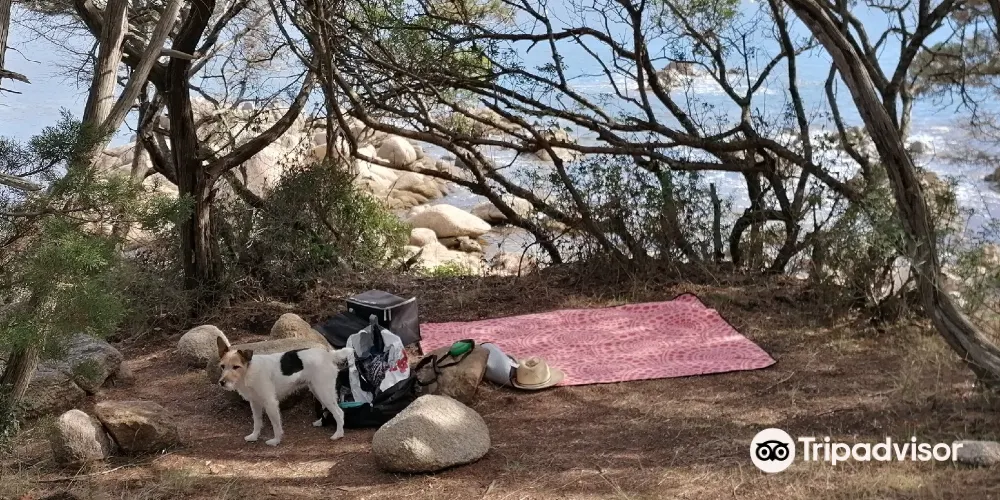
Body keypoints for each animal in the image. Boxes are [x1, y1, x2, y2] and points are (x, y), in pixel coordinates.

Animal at [215, 337, 352, 446]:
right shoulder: (255, 403)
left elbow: (276, 425)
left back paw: (338, 434)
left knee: (339, 413)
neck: (249, 371)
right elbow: (257, 422)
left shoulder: (270, 403)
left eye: (236, 367)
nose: (222, 382)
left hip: (324, 392)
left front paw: (276, 441)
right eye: (222, 366)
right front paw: (254, 436)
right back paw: (321, 423)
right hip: (318, 391)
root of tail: (329, 354)